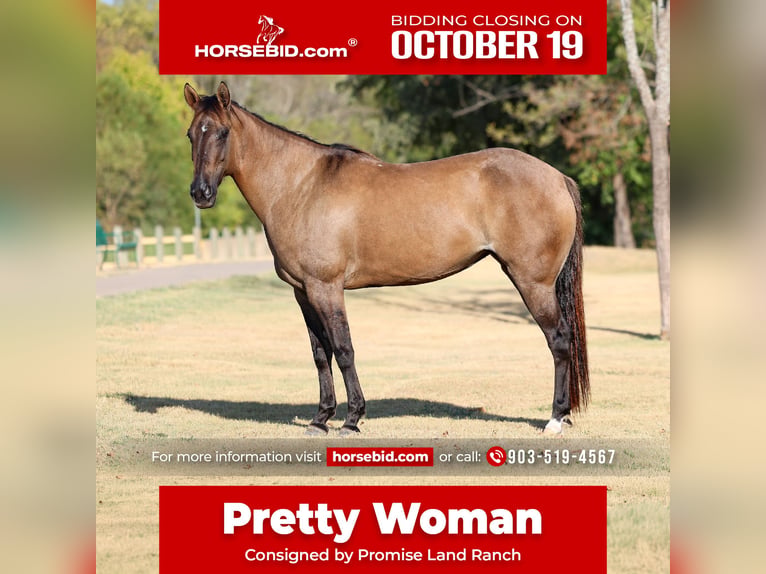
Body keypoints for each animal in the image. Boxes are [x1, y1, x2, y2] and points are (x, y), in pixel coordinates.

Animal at [183, 82, 589, 436]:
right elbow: (320, 354)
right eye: (190, 134)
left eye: (221, 133)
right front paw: (320, 419)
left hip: (533, 282)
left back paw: (555, 419)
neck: (301, 186)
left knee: (558, 340)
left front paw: (351, 420)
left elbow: (343, 349)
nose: (200, 193)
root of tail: (557, 178)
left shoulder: (326, 288)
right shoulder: (303, 291)